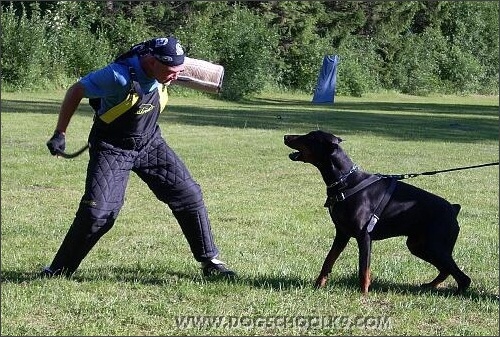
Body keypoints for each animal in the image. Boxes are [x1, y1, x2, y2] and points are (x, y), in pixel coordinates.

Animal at [284, 130, 470, 292]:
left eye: (310, 137)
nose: (285, 136)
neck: (345, 180)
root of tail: (453, 209)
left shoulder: (364, 236)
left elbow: (363, 269)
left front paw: (363, 294)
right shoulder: (342, 234)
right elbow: (328, 261)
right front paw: (318, 286)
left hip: (435, 246)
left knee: (463, 277)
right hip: (418, 245)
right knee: (446, 270)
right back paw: (429, 286)